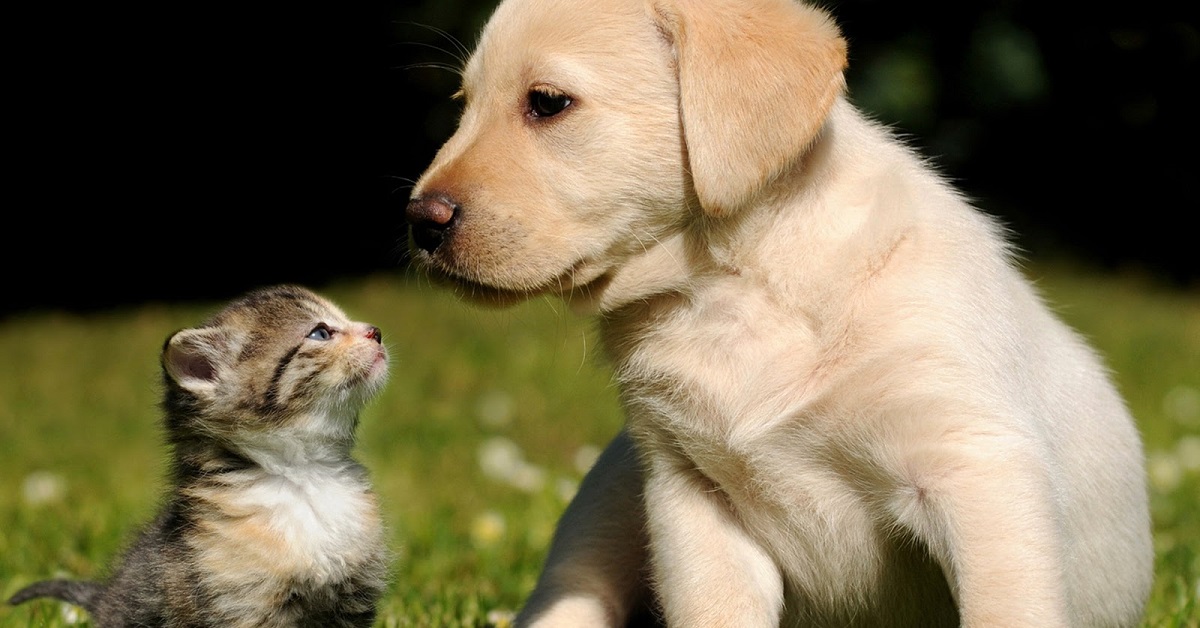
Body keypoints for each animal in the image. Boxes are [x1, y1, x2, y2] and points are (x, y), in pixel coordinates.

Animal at [10, 285, 393, 628]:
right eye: (320, 332)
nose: (376, 331)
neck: (306, 476)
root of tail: (105, 598)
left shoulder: (353, 599)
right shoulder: (243, 605)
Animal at [405, 0, 1152, 624]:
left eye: (548, 103)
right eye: (463, 103)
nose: (419, 221)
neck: (732, 290)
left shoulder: (976, 470)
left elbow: (1005, 606)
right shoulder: (691, 499)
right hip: (604, 509)